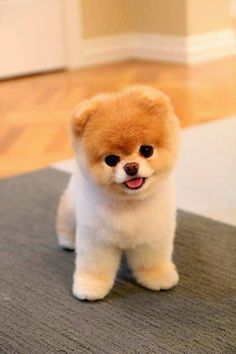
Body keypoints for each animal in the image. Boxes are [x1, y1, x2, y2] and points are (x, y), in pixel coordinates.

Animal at [56, 84, 180, 300]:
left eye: (146, 150)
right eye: (111, 160)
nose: (131, 167)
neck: (128, 203)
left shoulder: (153, 236)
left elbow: (153, 260)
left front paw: (158, 276)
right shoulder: (97, 240)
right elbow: (94, 267)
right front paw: (90, 286)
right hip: (71, 208)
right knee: (66, 222)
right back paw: (67, 241)